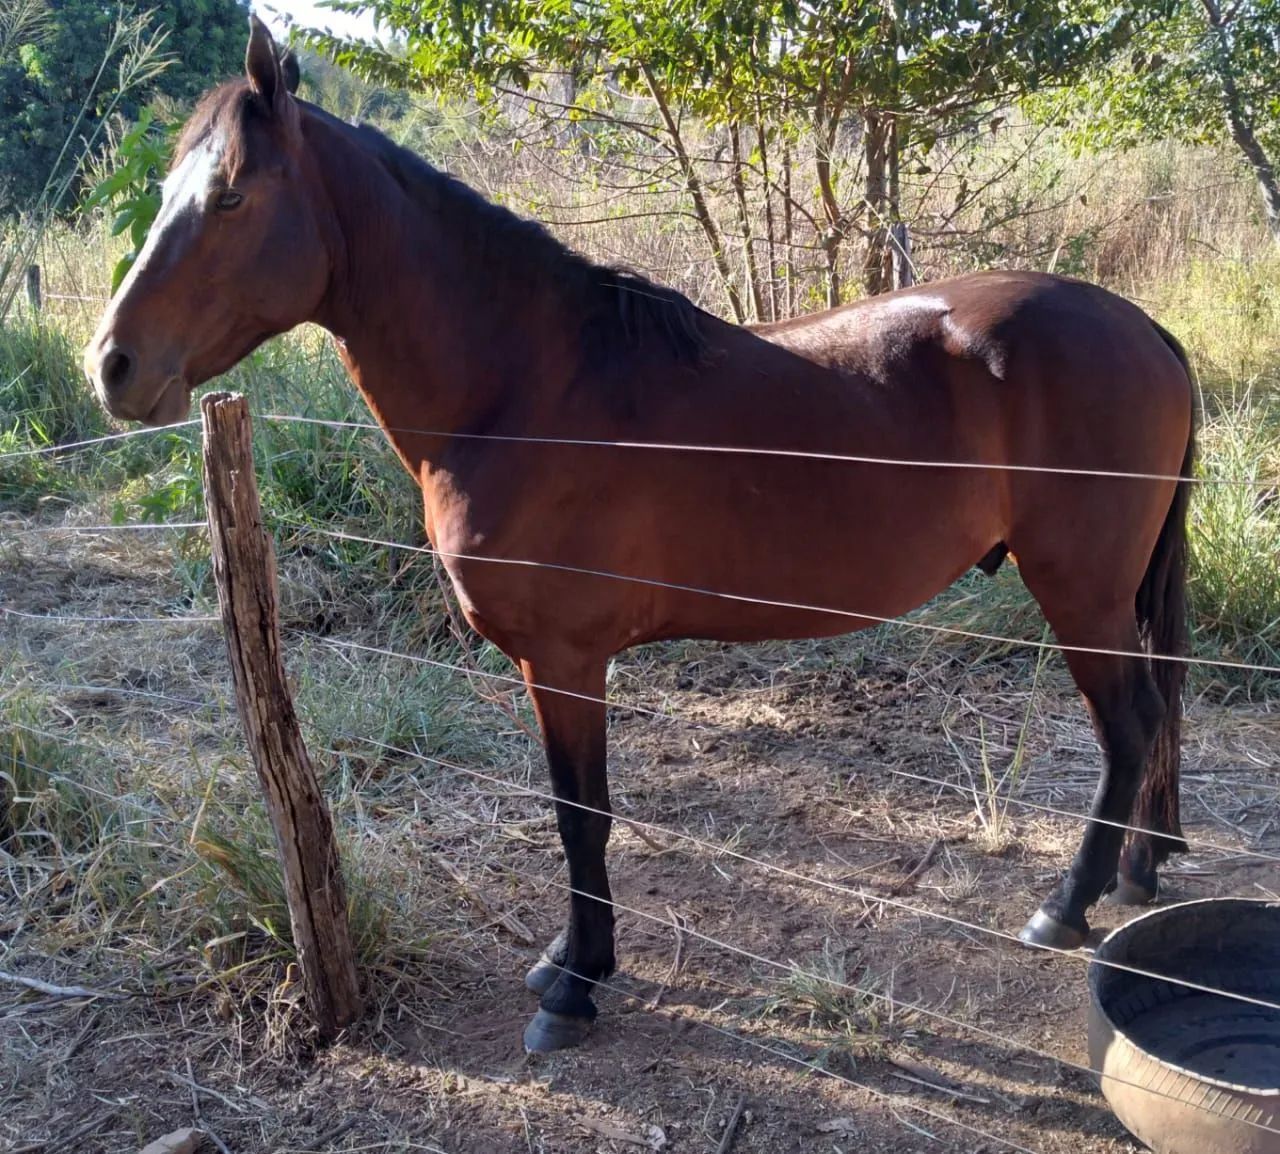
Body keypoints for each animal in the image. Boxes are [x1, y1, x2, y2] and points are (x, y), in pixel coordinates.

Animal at [84, 19, 1196, 1053]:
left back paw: (1065, 905)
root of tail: (1142, 329)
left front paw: (575, 985)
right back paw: (1134, 872)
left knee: (1128, 722)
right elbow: (575, 812)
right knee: (1150, 720)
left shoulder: (565, 659)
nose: (114, 365)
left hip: (1079, 590)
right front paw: (565, 961)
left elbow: (583, 815)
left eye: (231, 196)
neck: (525, 388)